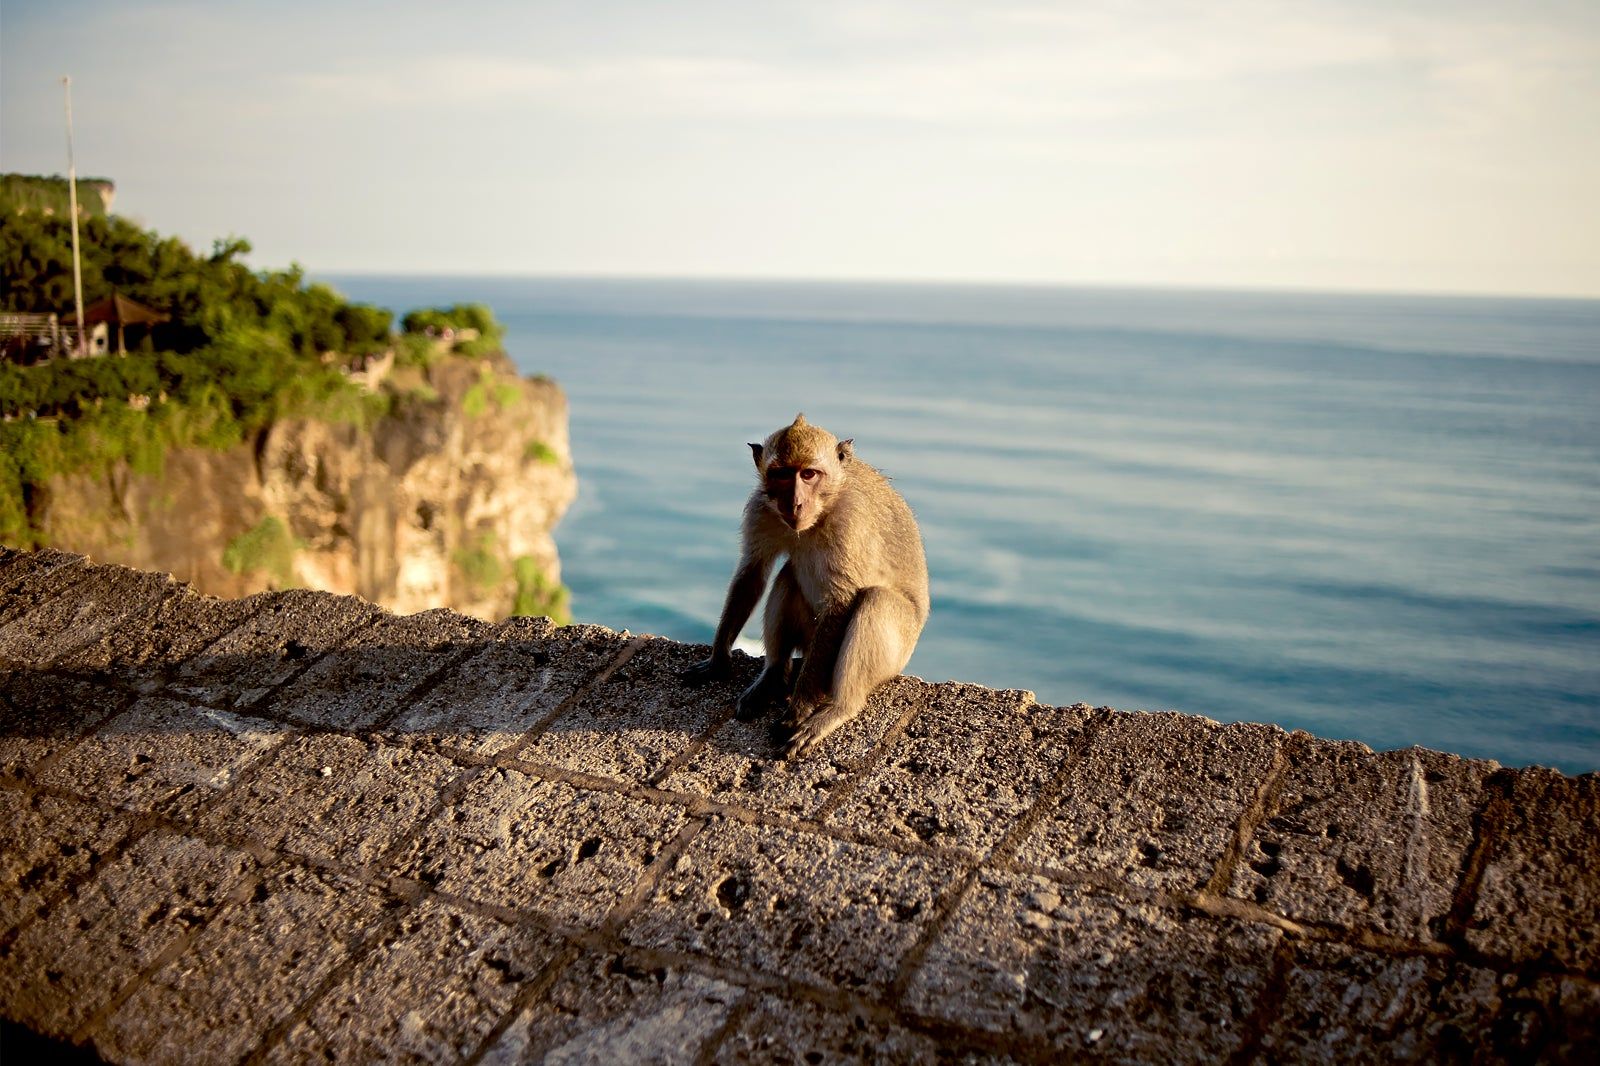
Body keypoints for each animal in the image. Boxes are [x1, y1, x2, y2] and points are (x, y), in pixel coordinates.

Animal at [680, 414, 929, 759]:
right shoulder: (761, 508)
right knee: (788, 576)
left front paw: (799, 709)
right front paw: (718, 662)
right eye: (783, 474)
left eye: (809, 474)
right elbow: (753, 572)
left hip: (895, 654)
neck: (826, 506)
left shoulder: (850, 524)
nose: (795, 503)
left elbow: (841, 601)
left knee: (876, 600)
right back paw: (773, 677)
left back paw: (838, 707)